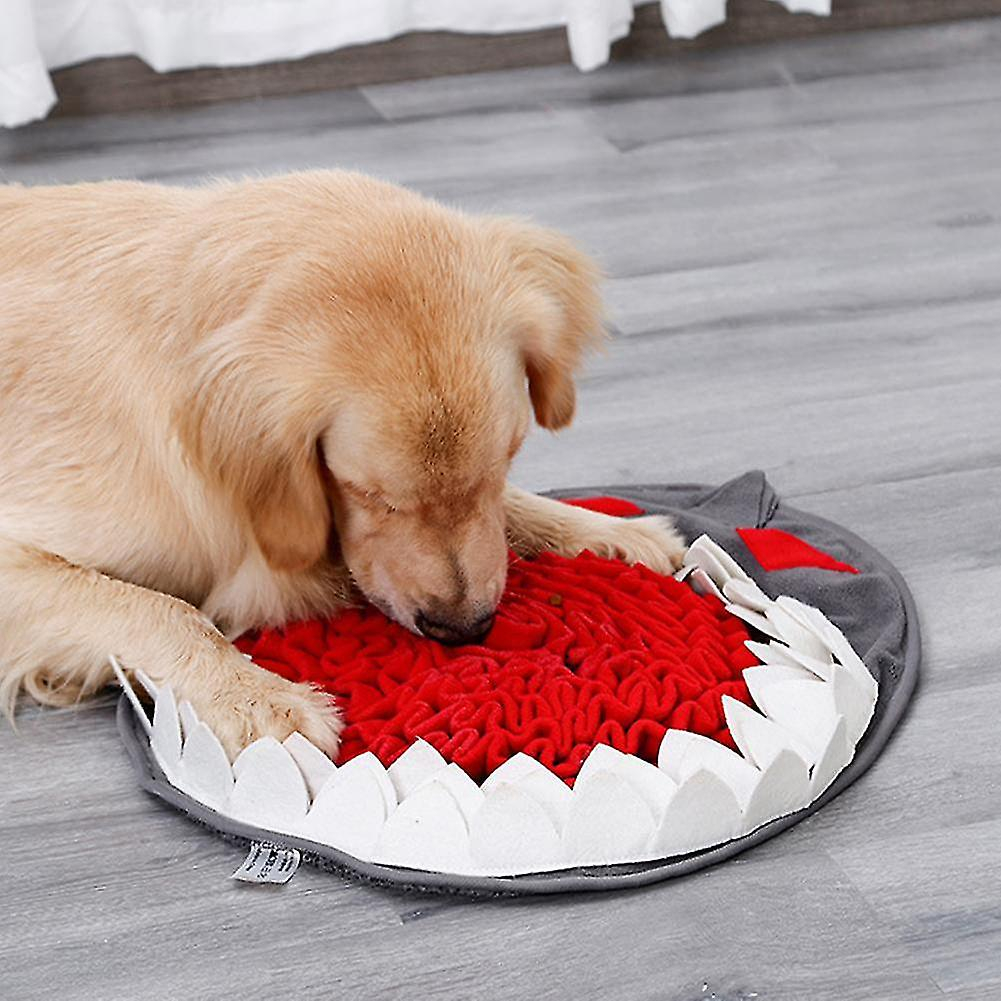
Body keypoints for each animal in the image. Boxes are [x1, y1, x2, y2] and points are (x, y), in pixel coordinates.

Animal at [0, 170, 688, 756]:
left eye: (506, 463)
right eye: (368, 494)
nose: (463, 628)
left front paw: (613, 532)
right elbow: (159, 607)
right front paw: (260, 700)